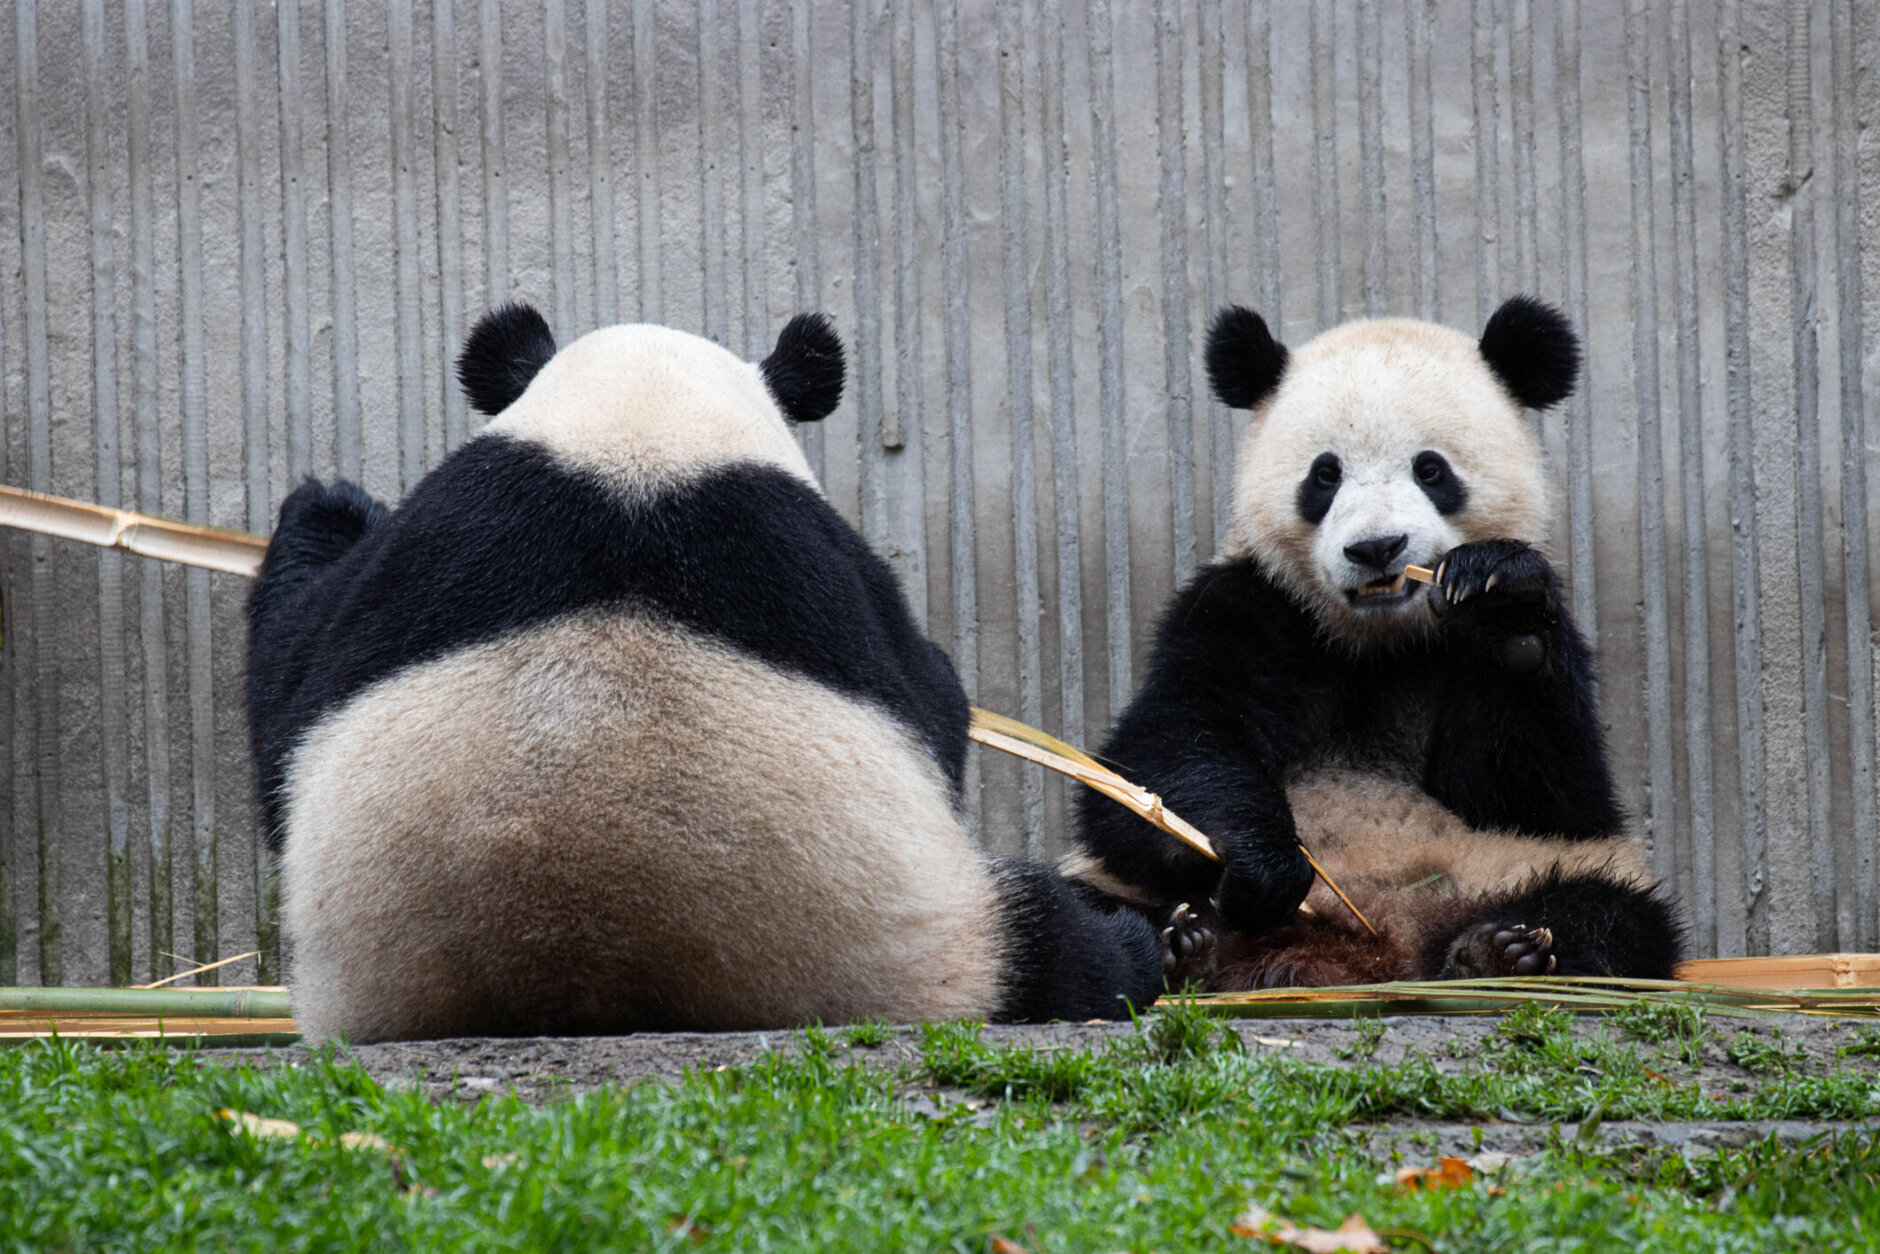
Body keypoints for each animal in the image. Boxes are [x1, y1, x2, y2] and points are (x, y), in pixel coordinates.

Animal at [244, 304, 1165, 1037]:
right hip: (918, 943)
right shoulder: (822, 562)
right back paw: (1144, 943)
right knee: (1053, 946)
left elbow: (288, 704)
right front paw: (334, 505)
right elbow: (931, 696)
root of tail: (585, 975)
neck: (638, 439)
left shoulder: (422, 555)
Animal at [1075, 297, 1692, 992]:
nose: (1376, 548)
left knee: (1613, 914)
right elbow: (1160, 757)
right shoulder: (1245, 608)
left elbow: (1545, 796)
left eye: (1431, 469)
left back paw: (1496, 952)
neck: (1377, 640)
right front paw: (1263, 860)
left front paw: (1500, 601)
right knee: (1083, 908)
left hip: (1512, 871)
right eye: (1324, 475)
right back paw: (1185, 948)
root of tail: (1369, 950)